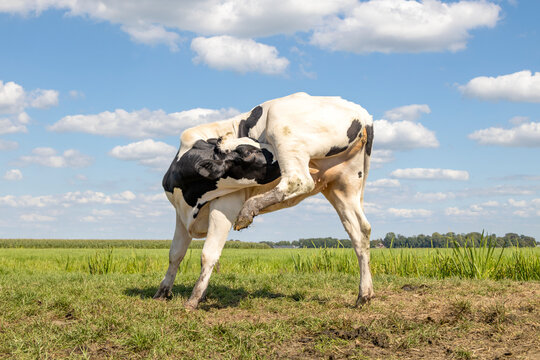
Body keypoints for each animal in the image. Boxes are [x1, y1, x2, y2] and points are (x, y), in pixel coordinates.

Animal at [155, 93, 376, 310]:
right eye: (248, 152)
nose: (220, 140)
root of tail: (362, 113)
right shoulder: (181, 214)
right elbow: (175, 254)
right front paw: (162, 292)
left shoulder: (226, 203)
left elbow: (208, 254)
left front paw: (194, 299)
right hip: (343, 185)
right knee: (360, 231)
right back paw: (364, 294)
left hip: (283, 128)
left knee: (299, 180)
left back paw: (248, 210)